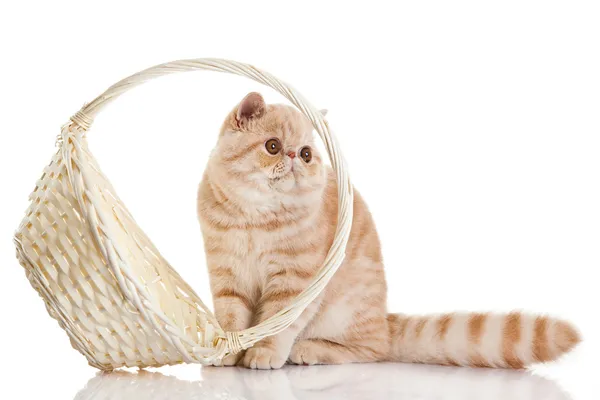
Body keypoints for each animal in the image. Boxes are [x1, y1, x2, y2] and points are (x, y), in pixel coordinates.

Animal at [198, 92, 580, 370]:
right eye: (273, 146)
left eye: (306, 154)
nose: (294, 157)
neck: (256, 218)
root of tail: (385, 318)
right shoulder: (226, 274)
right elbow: (231, 318)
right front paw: (227, 351)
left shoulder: (297, 283)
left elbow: (279, 323)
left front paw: (263, 353)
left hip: (346, 312)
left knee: (372, 349)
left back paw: (310, 350)